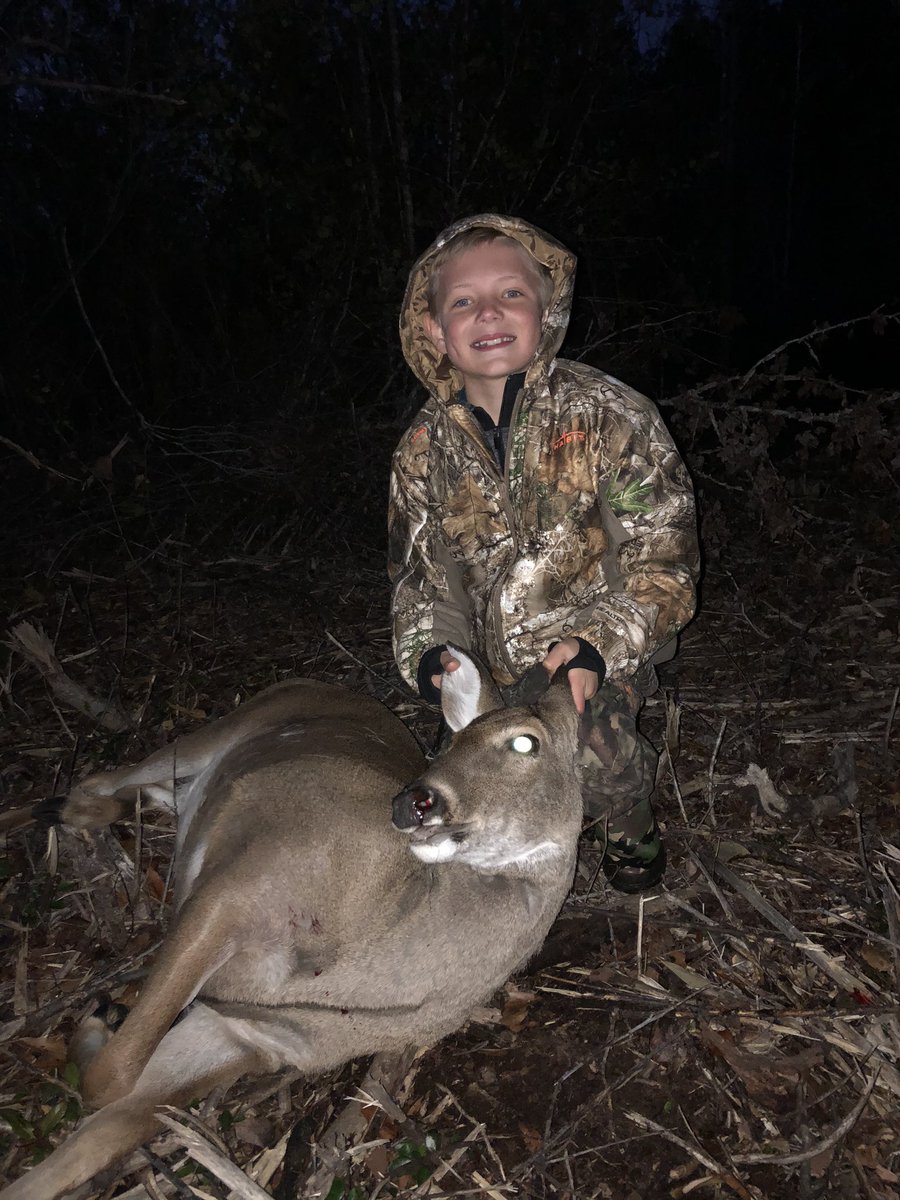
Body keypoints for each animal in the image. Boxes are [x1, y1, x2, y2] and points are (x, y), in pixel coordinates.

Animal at [0, 648, 589, 1200]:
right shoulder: (236, 889)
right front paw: (99, 1020)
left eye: (525, 743)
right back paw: (59, 813)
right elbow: (110, 1077)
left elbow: (96, 1129)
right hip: (232, 722)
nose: (413, 801)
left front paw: (98, 1023)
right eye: (452, 741)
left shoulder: (248, 1037)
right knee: (107, 775)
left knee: (152, 792)